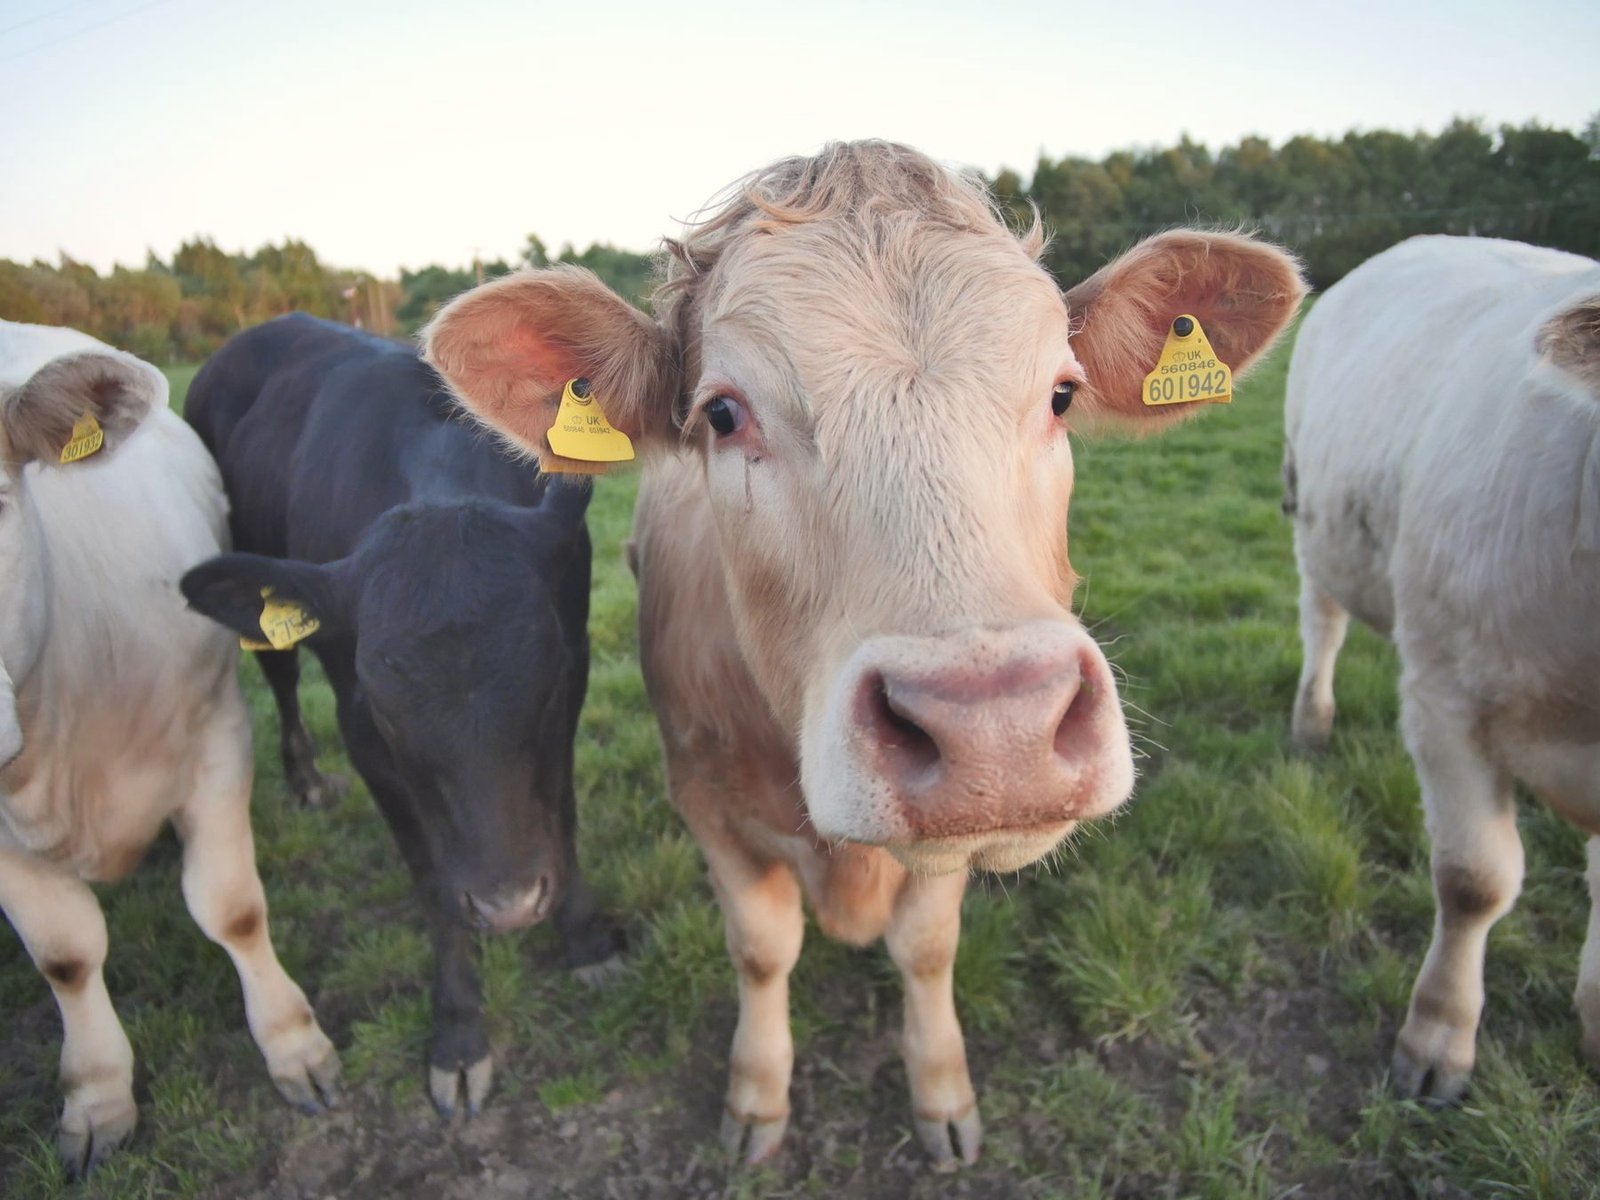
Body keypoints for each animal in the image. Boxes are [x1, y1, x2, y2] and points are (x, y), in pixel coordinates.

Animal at [177, 314, 618, 1117]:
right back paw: (304, 778)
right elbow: (431, 879)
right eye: (384, 710)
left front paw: (587, 941)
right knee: (281, 676)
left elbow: (562, 812)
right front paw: (459, 1033)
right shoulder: (363, 736)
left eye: (546, 681)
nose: (510, 904)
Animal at [423, 140, 1306, 1165]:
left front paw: (942, 1094)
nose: (996, 728)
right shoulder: (704, 801)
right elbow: (762, 950)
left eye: (1061, 394)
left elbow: (925, 949)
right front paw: (756, 1098)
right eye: (721, 415)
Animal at [1284, 236, 1600, 1101]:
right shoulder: (1452, 697)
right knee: (1322, 624)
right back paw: (1311, 722)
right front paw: (1436, 1040)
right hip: (1314, 526)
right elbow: (1473, 880)